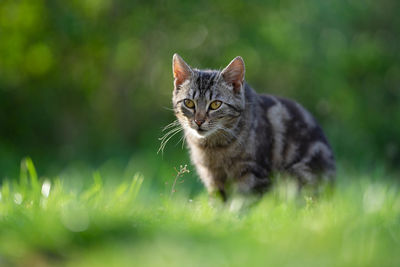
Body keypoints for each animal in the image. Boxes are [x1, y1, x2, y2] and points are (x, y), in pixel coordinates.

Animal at [169, 54, 334, 201]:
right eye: (189, 103)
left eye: (216, 104)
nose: (199, 121)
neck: (214, 147)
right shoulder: (213, 180)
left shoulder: (253, 175)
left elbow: (241, 203)